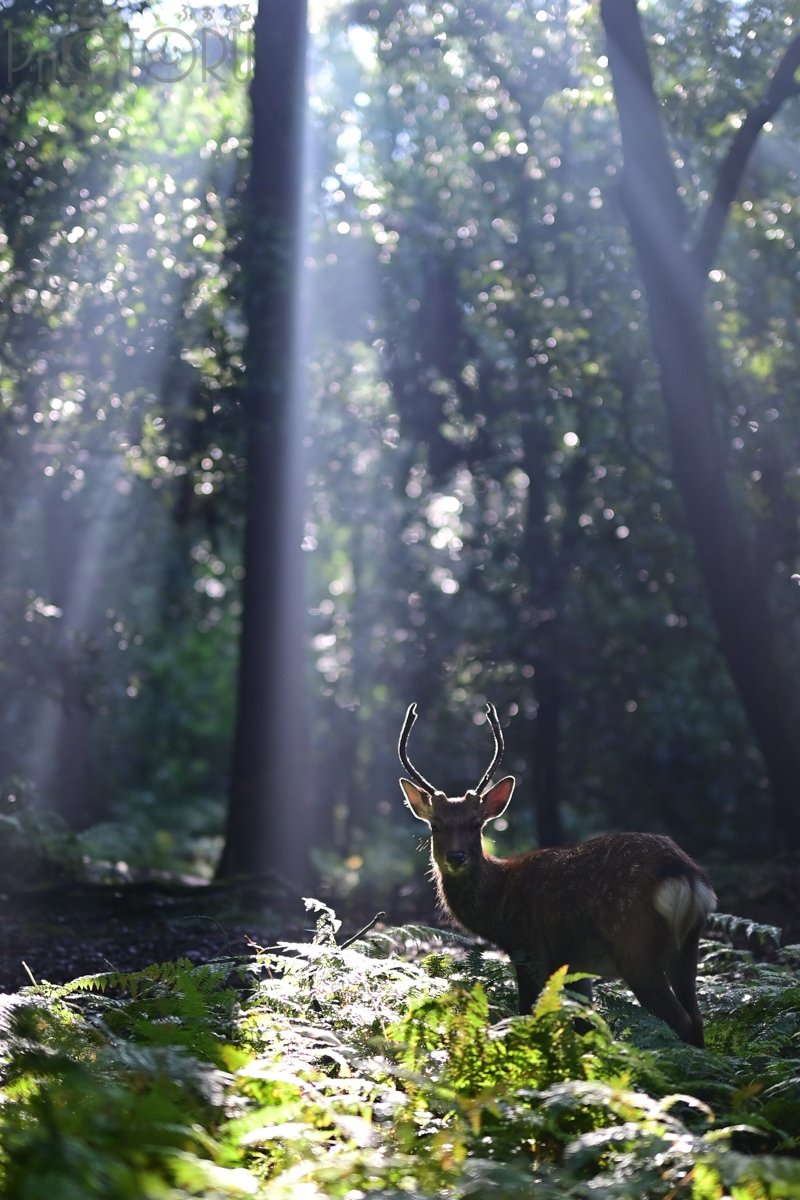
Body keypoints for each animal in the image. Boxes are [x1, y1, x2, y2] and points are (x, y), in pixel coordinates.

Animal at [400, 700, 719, 1046]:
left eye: (476, 823)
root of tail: (685, 876)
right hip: (687, 946)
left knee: (682, 1019)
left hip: (635, 945)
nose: (456, 856)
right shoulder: (574, 964)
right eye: (435, 825)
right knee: (697, 1018)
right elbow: (586, 1023)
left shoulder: (529, 949)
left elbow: (527, 1012)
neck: (498, 904)